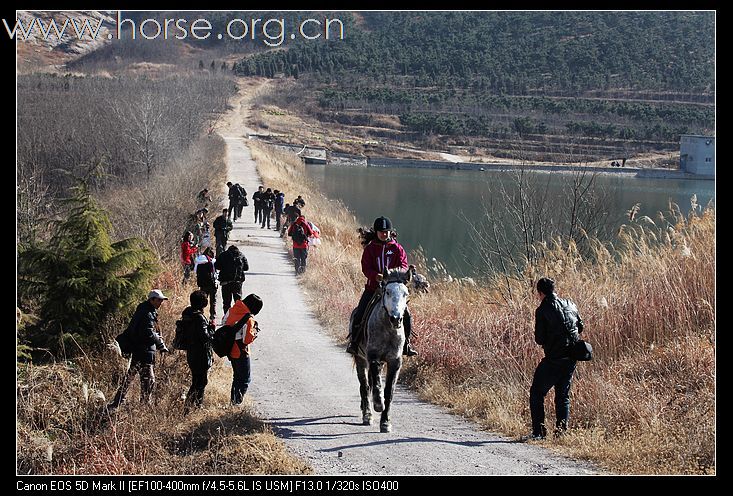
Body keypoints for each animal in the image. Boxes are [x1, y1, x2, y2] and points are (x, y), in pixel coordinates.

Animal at [350, 266, 412, 432]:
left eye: (406, 294)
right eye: (388, 292)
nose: (396, 319)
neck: (388, 329)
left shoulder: (394, 362)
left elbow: (389, 391)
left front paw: (385, 422)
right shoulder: (373, 358)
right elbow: (377, 385)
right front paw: (378, 404)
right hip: (360, 360)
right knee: (365, 387)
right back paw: (367, 415)